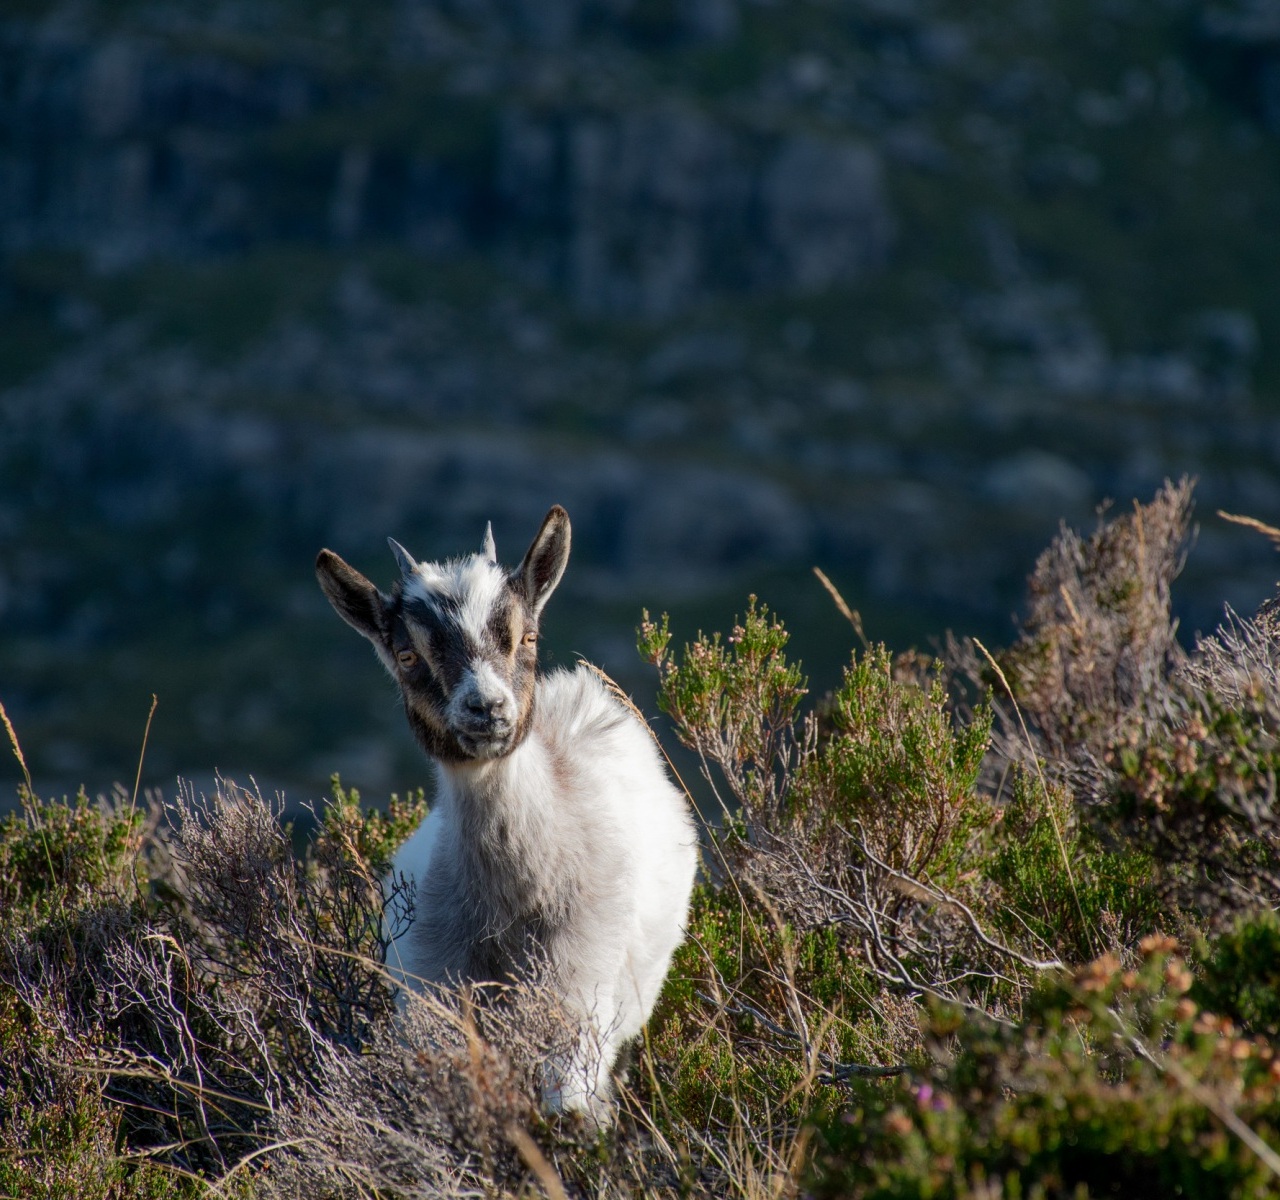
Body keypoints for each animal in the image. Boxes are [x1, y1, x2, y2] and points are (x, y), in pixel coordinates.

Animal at [315, 506, 697, 1118]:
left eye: (527, 635)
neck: (512, 903)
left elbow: (572, 1105)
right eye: (407, 654)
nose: (487, 708)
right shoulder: (434, 989)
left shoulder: (580, 984)